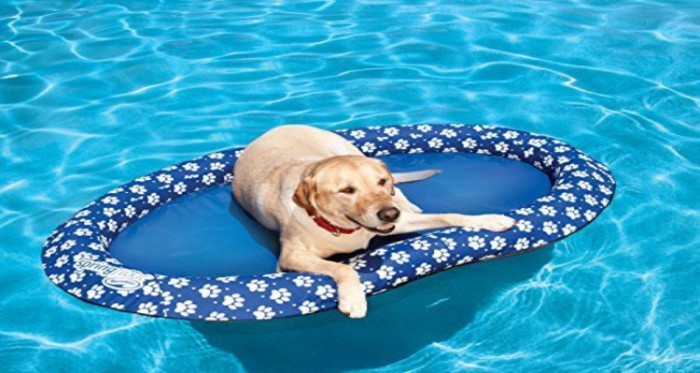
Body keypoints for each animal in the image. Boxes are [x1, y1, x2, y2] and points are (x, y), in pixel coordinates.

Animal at [234, 125, 516, 316]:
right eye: (347, 190)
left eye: (381, 182)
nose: (389, 214)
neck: (345, 229)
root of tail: (278, 128)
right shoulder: (291, 257)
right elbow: (343, 268)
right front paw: (354, 299)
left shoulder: (400, 221)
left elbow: (449, 215)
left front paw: (491, 221)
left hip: (345, 147)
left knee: (400, 192)